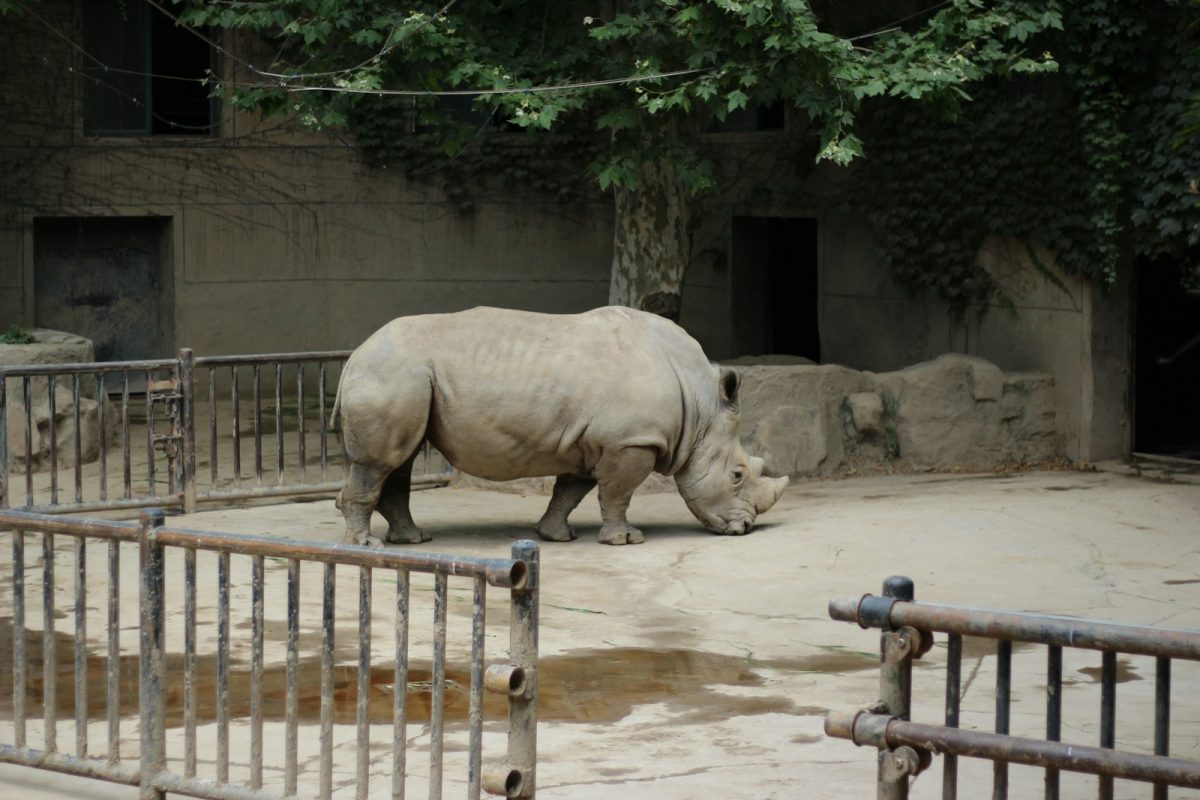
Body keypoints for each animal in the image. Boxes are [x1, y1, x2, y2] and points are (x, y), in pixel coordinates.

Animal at [333, 306, 788, 546]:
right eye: (737, 475)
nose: (745, 527)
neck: (699, 407)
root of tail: (354, 356)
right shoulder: (630, 441)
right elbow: (618, 493)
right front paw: (625, 540)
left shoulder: (592, 441)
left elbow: (570, 491)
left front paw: (554, 536)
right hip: (393, 373)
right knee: (381, 463)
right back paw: (367, 545)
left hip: (402, 375)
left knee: (401, 461)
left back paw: (413, 540)